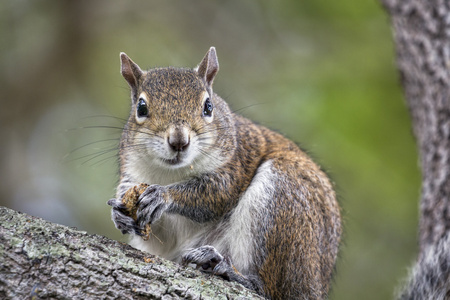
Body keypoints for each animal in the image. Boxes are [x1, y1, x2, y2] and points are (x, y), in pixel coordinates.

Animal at [108, 47, 342, 300]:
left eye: (208, 107)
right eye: (141, 108)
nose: (179, 141)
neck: (171, 172)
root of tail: (316, 285)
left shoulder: (235, 164)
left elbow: (216, 194)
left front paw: (163, 196)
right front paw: (120, 211)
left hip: (284, 200)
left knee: (270, 289)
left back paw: (228, 270)